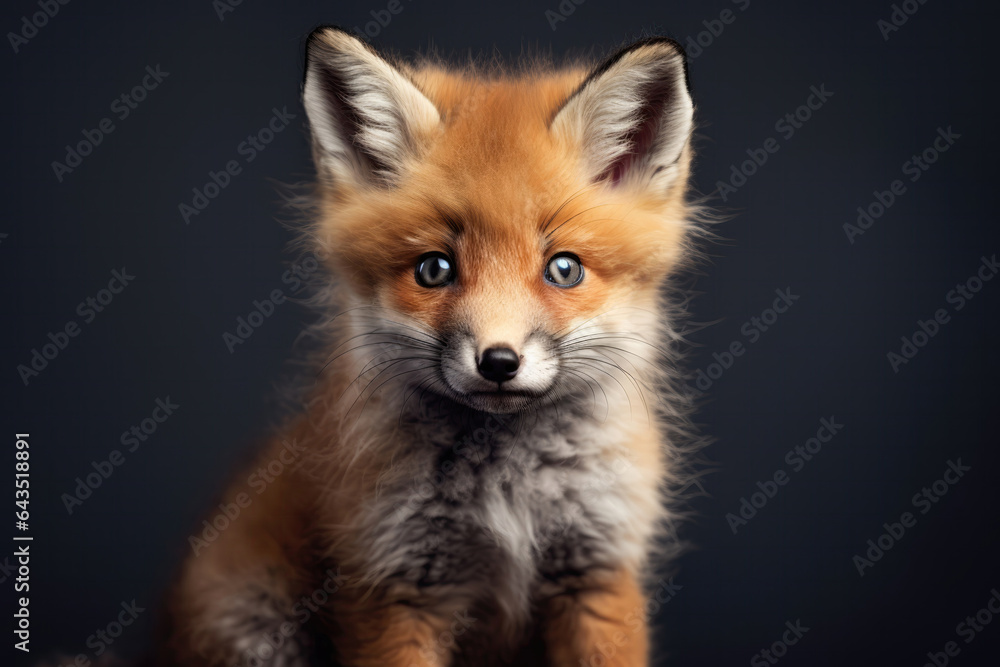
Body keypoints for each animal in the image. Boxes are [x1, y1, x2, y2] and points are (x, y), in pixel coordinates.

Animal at [157, 26, 706, 667]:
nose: (499, 362)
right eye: (434, 269)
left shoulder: (596, 570)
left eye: (564, 269)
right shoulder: (393, 586)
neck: (508, 492)